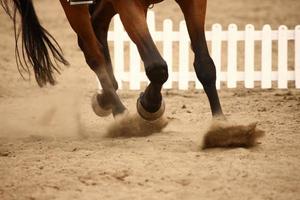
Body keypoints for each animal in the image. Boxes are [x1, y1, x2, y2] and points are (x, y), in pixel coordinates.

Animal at [0, 0, 264, 147]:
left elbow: (205, 65)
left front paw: (221, 127)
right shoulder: (127, 3)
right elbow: (157, 67)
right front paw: (148, 105)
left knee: (97, 26)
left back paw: (106, 98)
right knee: (93, 51)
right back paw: (122, 116)